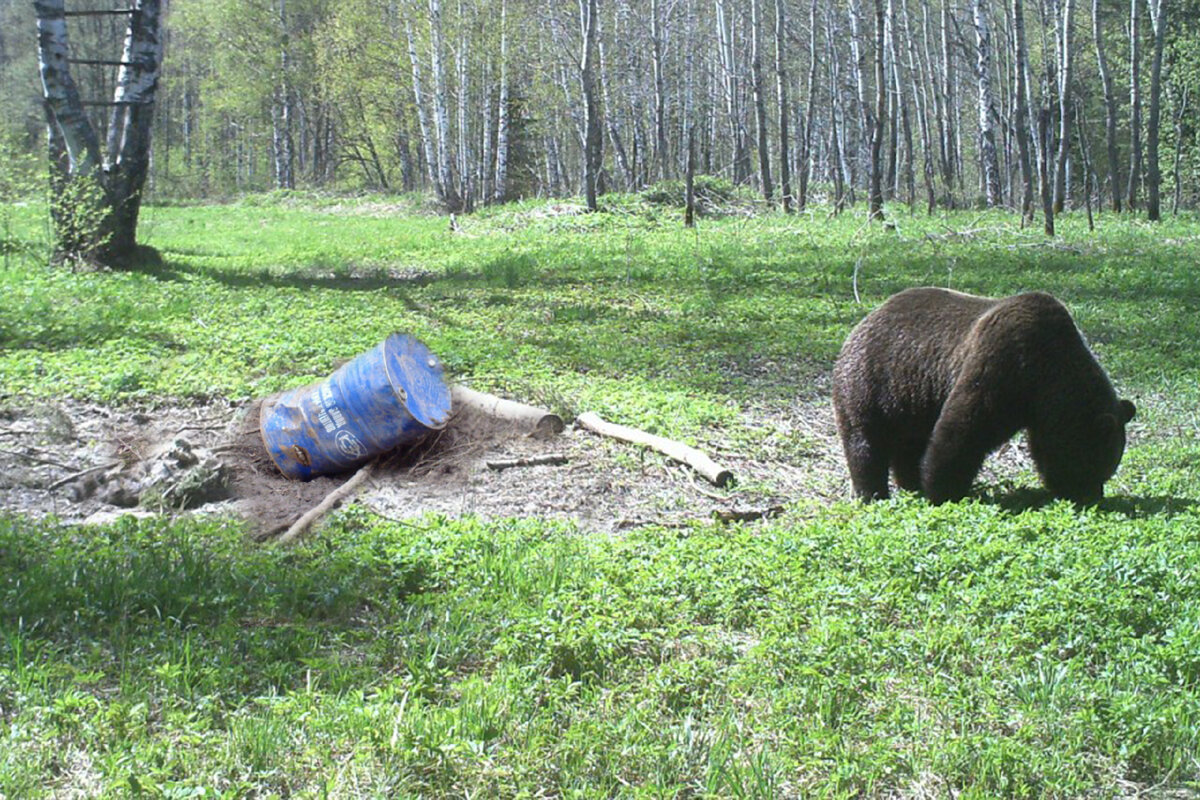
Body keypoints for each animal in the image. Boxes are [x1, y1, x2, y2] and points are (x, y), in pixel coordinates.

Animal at [835, 284, 1132, 503]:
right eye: (1095, 466)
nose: (1094, 496)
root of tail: (862, 322)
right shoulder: (1002, 363)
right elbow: (964, 428)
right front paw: (942, 488)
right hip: (873, 379)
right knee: (865, 439)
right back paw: (872, 492)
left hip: (913, 397)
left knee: (909, 442)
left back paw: (909, 481)